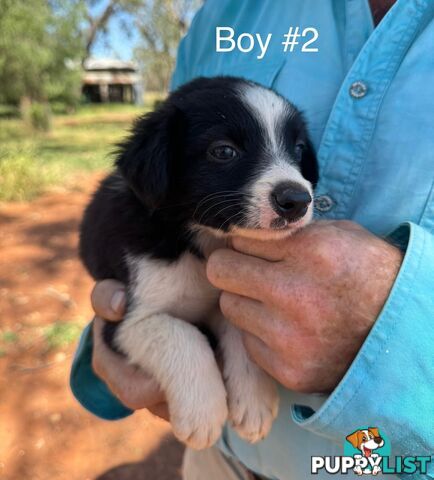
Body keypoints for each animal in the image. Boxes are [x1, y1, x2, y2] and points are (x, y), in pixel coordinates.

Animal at [79, 78, 318, 450]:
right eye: (223, 151)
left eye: (297, 148)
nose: (297, 200)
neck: (200, 240)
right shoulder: (121, 320)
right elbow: (183, 335)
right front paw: (202, 413)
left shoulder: (232, 296)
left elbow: (241, 332)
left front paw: (254, 401)